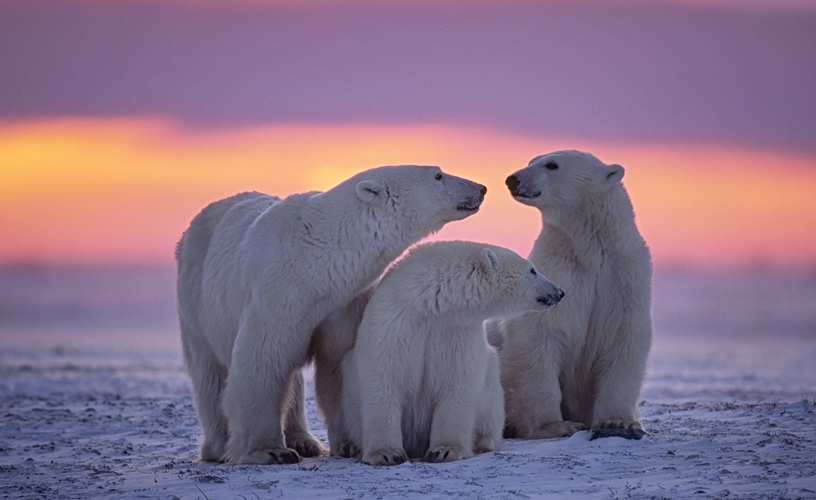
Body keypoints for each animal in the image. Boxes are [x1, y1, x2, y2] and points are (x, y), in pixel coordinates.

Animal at [175, 165, 484, 464]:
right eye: (438, 175)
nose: (481, 187)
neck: (315, 262)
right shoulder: (276, 293)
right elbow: (263, 360)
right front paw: (270, 451)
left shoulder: (343, 303)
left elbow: (338, 363)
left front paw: (350, 444)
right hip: (196, 298)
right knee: (209, 373)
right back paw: (219, 447)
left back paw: (305, 441)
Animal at [342, 240, 564, 466]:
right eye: (532, 270)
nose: (559, 292)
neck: (430, 306)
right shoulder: (394, 323)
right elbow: (383, 378)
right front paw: (387, 453)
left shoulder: (457, 331)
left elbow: (458, 381)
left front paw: (444, 451)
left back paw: (482, 442)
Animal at [494, 150, 652, 440]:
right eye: (532, 160)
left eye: (551, 164)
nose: (513, 179)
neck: (589, 251)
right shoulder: (558, 273)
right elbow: (539, 337)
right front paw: (556, 425)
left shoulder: (624, 278)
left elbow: (624, 338)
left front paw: (618, 421)